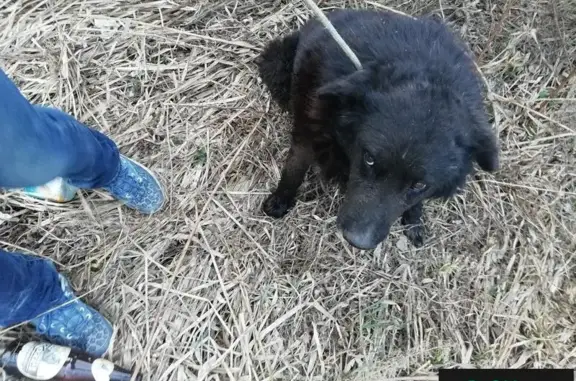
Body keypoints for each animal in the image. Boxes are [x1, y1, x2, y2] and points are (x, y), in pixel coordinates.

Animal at [258, 9, 500, 249]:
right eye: (369, 159)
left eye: (420, 184)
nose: (358, 241)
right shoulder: (308, 129)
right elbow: (294, 169)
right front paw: (279, 201)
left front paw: (414, 219)